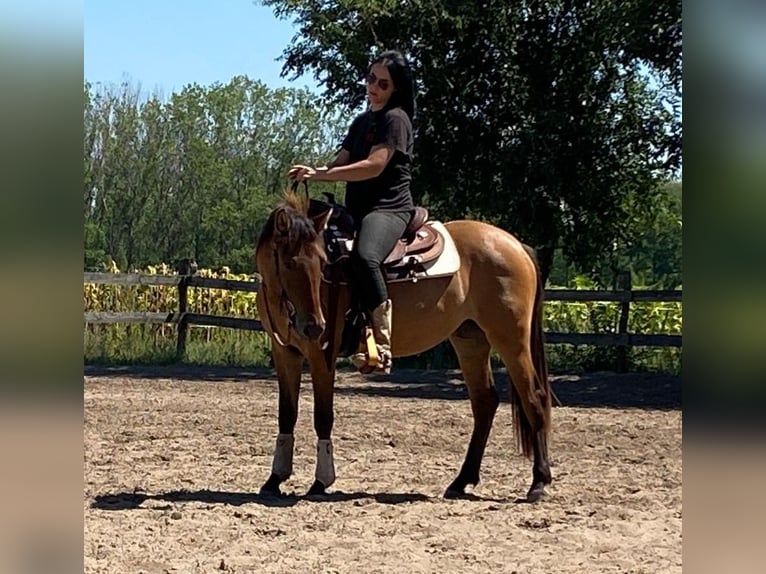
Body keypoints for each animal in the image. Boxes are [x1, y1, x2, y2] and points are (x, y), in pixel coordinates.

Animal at [255, 191, 556, 502]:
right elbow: (286, 414)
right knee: (485, 402)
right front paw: (274, 479)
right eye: (289, 263)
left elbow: (323, 416)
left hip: (511, 340)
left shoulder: (321, 355)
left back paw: (539, 482)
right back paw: (461, 481)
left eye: (322, 263)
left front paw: (320, 482)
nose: (315, 326)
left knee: (534, 397)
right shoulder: (285, 354)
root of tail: (516, 245)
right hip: (470, 341)